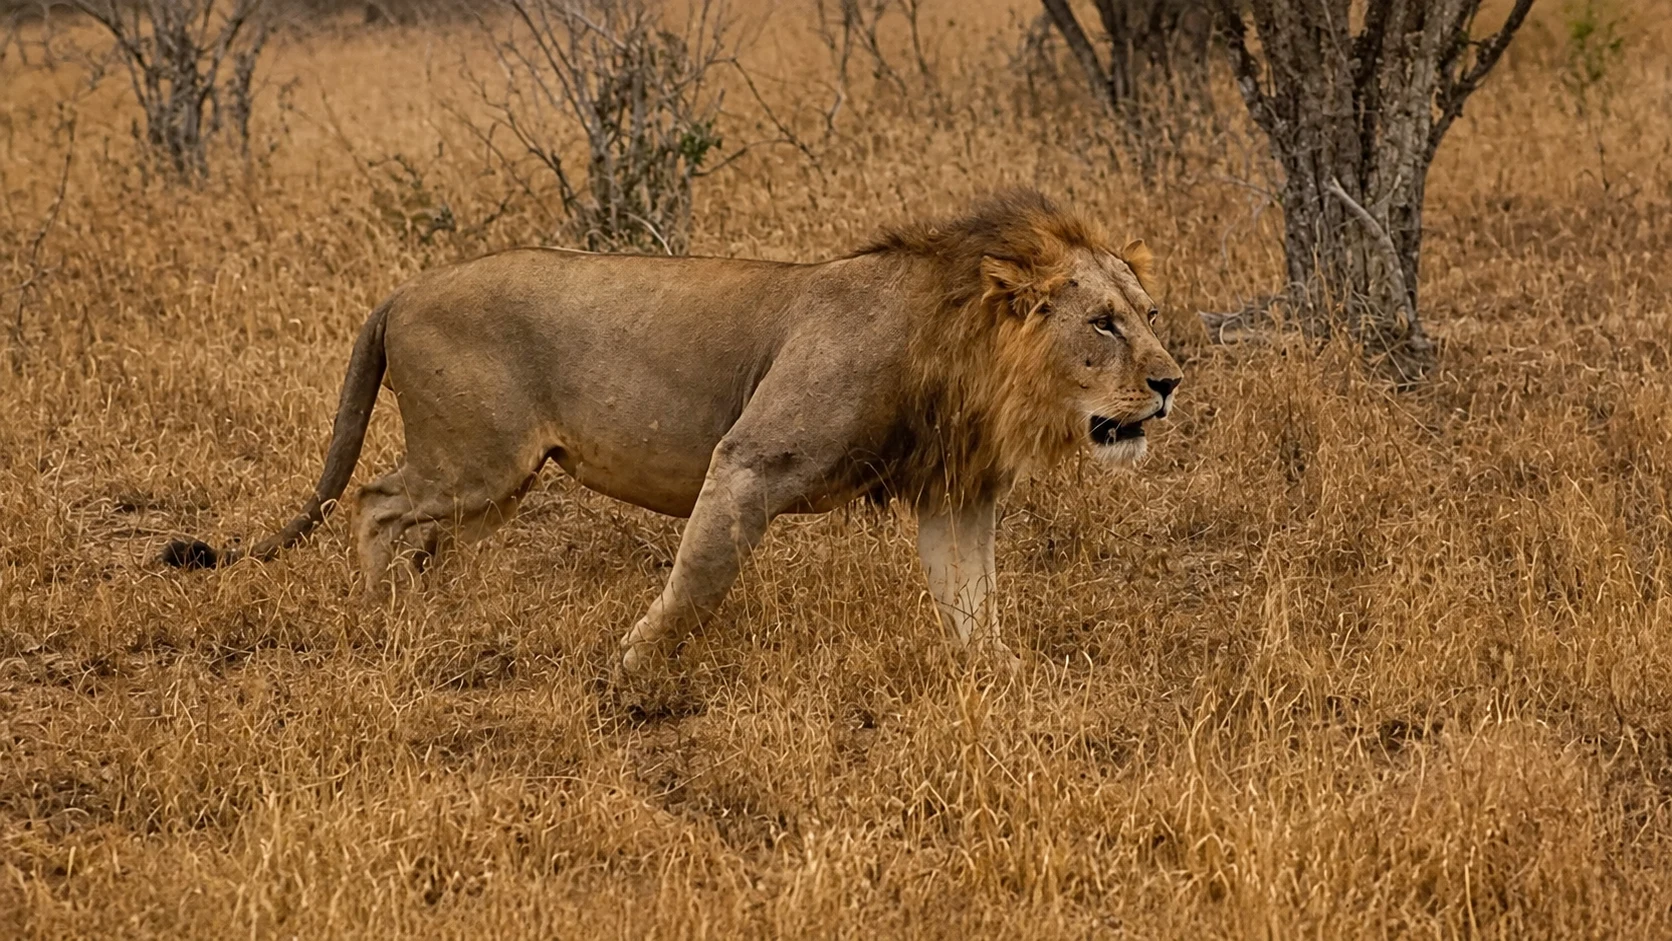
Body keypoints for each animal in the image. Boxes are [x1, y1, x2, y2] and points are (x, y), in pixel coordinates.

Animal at [163, 189, 1184, 674]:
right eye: (1102, 324)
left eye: (1149, 313)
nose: (1171, 382)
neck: (964, 352)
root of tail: (401, 290)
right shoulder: (750, 459)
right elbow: (699, 579)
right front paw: (633, 665)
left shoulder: (954, 491)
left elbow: (973, 596)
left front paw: (1002, 673)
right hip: (477, 458)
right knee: (376, 501)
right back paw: (382, 616)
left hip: (498, 484)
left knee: (423, 535)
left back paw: (427, 614)